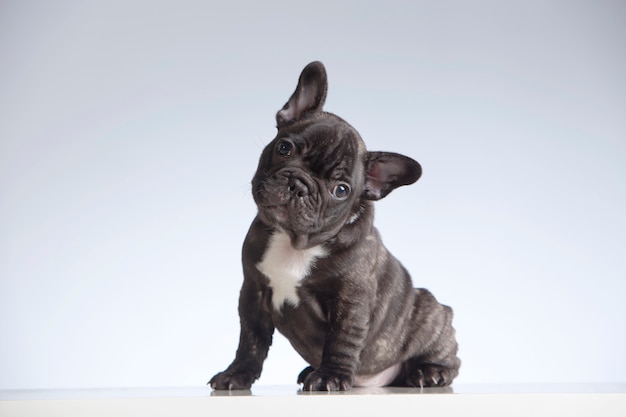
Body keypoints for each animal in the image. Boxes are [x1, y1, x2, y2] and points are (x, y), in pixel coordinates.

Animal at [210, 61, 458, 390]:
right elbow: (250, 340)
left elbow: (342, 340)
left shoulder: (350, 302)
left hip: (430, 312)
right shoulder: (253, 292)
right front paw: (237, 374)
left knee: (448, 357)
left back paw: (430, 373)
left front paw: (331, 376)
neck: (294, 242)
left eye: (340, 189)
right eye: (284, 148)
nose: (298, 185)